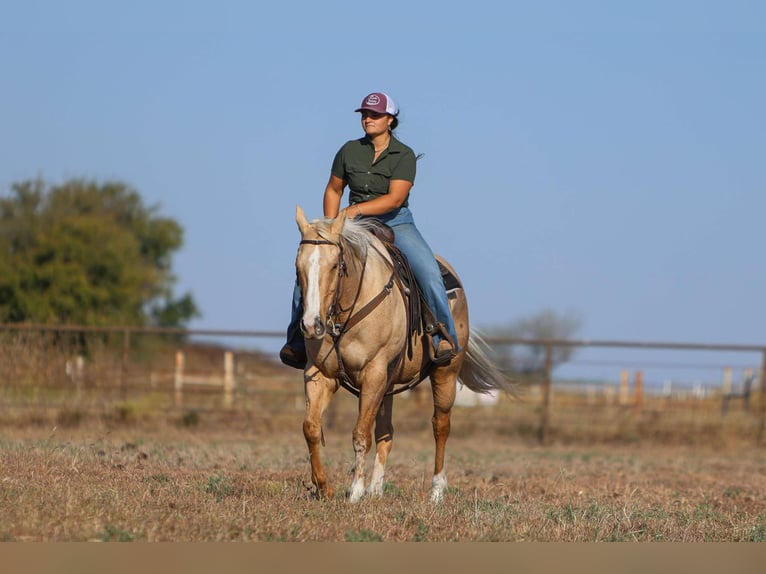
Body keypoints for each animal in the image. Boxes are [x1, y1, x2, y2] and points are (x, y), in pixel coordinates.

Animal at [293, 205, 514, 502]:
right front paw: (324, 486)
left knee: (440, 426)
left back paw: (436, 491)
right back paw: (376, 490)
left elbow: (360, 433)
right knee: (386, 432)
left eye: (335, 266)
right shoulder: (321, 374)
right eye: (298, 268)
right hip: (387, 385)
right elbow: (311, 427)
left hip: (445, 373)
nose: (311, 325)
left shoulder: (373, 373)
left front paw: (354, 491)